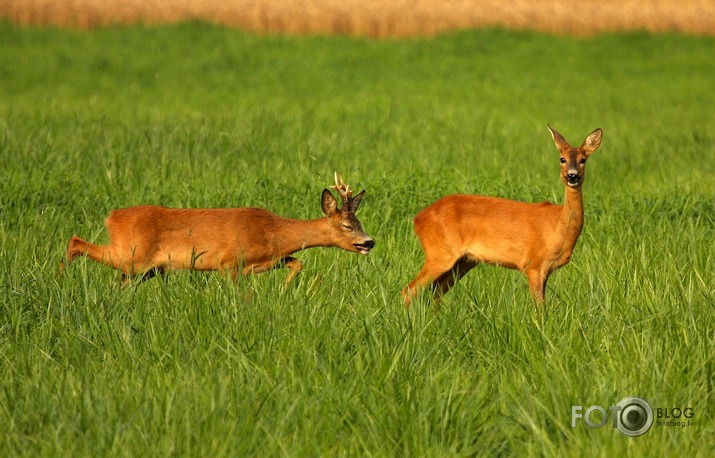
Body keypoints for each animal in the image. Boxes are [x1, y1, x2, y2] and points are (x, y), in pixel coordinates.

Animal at [63, 174, 374, 288]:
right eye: (347, 225)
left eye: (360, 223)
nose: (369, 242)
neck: (273, 232)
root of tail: (111, 217)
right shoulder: (228, 262)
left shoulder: (267, 260)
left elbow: (296, 263)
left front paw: (286, 288)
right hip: (132, 255)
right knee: (75, 242)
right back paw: (58, 279)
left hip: (143, 269)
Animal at [402, 125, 604, 306]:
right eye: (562, 159)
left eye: (583, 159)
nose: (572, 176)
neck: (558, 226)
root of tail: (418, 219)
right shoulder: (533, 265)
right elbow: (539, 309)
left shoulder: (545, 270)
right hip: (440, 253)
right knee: (409, 290)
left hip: (464, 262)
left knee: (435, 293)